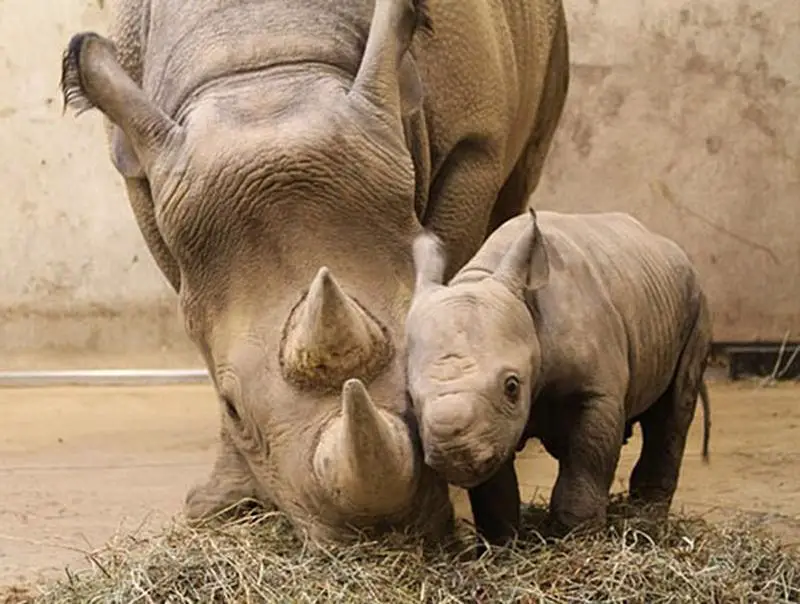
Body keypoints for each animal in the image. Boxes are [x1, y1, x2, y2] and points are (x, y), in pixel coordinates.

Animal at [406, 206, 712, 544]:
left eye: (512, 386)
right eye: (411, 398)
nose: (453, 454)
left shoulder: (595, 393)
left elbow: (585, 463)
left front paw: (577, 539)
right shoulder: (493, 426)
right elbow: (495, 488)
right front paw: (502, 545)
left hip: (695, 302)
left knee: (672, 412)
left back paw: (648, 523)